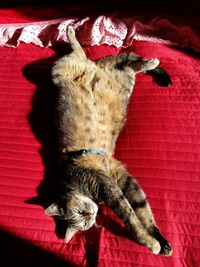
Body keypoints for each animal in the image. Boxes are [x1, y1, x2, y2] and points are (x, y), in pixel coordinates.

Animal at [44, 25, 173, 258]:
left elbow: (131, 217)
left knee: (81, 52)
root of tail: (96, 68)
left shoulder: (107, 186)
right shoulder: (120, 179)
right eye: (83, 224)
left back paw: (71, 31)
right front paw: (157, 241)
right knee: (126, 66)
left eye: (79, 212)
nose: (90, 215)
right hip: (122, 83)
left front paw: (151, 242)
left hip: (61, 70)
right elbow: (140, 210)